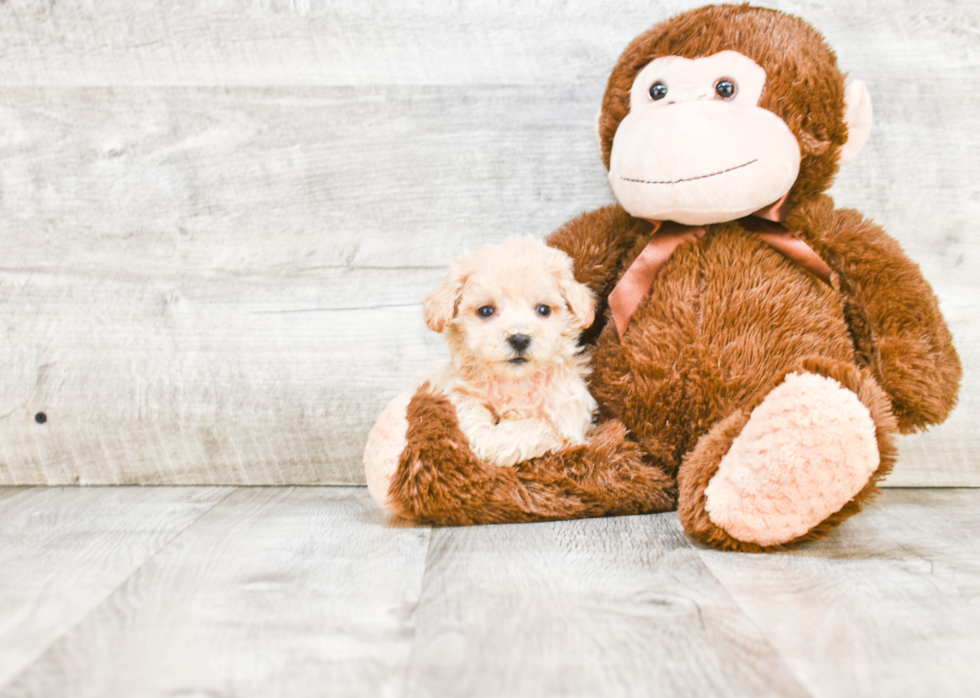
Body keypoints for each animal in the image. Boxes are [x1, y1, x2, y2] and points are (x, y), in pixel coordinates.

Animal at [364, 237, 596, 508]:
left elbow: (536, 427)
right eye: (486, 311)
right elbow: (468, 412)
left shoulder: (569, 414)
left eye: (544, 310)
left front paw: (498, 444)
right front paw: (484, 440)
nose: (519, 338)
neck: (513, 382)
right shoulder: (455, 390)